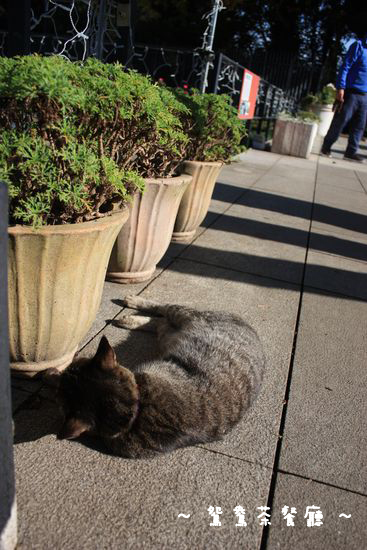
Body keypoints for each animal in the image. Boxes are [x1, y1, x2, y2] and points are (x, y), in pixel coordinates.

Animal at [44, 296, 266, 460]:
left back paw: (133, 307)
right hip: (173, 330)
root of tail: (249, 325)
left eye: (77, 362)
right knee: (161, 318)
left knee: (163, 311)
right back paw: (131, 315)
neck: (137, 409)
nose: (67, 366)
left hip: (183, 317)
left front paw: (50, 375)